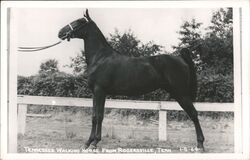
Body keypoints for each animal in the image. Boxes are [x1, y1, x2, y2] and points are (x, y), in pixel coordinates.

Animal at [58, 9, 205, 151]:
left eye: (79, 21)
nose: (60, 33)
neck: (100, 58)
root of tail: (180, 59)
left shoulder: (100, 91)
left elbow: (98, 116)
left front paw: (94, 143)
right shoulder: (96, 93)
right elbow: (95, 116)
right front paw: (88, 142)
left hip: (180, 93)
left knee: (194, 114)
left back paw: (200, 144)